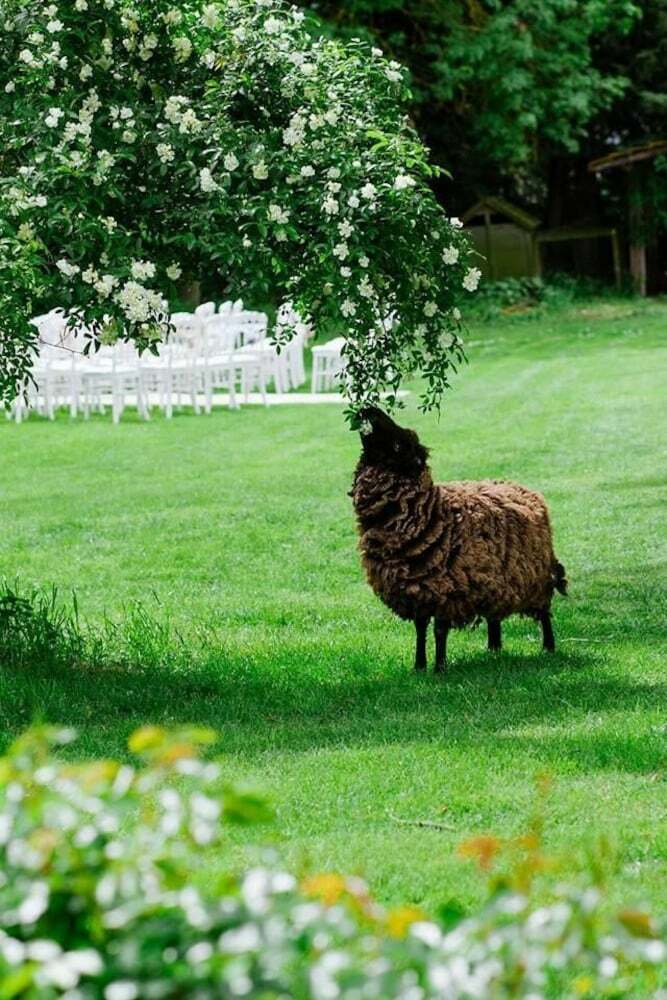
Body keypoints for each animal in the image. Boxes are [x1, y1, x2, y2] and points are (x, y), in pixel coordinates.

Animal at [350, 406, 567, 672]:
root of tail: (524, 489)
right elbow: (420, 629)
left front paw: (439, 668)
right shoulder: (418, 590)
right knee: (494, 615)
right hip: (495, 578)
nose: (367, 409)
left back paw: (548, 647)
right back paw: (493, 648)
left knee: (545, 613)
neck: (431, 515)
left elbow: (439, 631)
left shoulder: (446, 591)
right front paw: (419, 666)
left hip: (536, 576)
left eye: (400, 445)